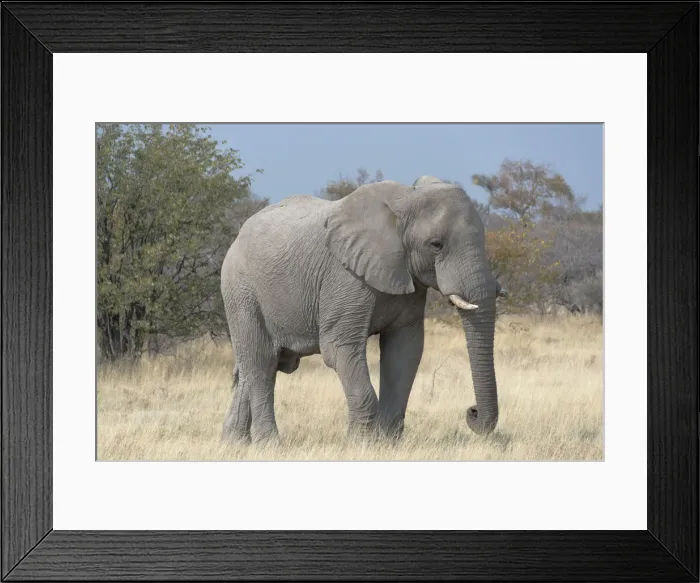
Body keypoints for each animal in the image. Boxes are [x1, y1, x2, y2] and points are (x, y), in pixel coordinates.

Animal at [220, 177, 504, 443]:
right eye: (436, 245)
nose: (472, 412)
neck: (404, 200)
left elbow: (405, 350)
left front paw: (386, 443)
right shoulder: (344, 277)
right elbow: (339, 348)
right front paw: (359, 444)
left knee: (253, 367)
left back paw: (234, 443)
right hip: (241, 293)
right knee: (261, 362)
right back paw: (269, 444)